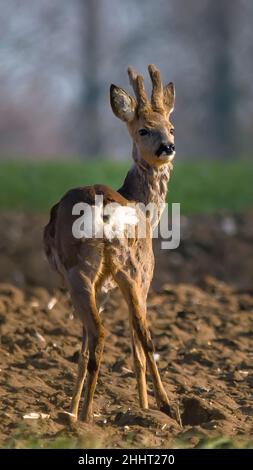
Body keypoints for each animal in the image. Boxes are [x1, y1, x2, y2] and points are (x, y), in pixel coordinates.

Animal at [43, 65, 176, 422]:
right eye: (144, 130)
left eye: (171, 127)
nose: (168, 146)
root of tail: (104, 211)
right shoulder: (127, 279)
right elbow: (135, 342)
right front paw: (143, 406)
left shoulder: (90, 283)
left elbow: (83, 344)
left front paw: (71, 408)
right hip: (136, 267)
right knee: (145, 334)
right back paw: (167, 408)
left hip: (81, 271)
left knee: (98, 333)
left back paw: (86, 416)